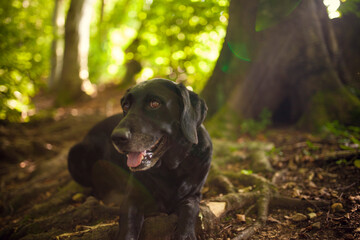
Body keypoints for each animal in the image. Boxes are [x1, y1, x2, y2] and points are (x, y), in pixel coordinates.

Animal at [68, 79, 211, 240]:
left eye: (154, 103)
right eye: (126, 105)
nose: (116, 137)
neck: (170, 169)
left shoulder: (193, 195)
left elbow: (189, 211)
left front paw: (186, 234)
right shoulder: (132, 198)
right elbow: (128, 228)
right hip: (75, 153)